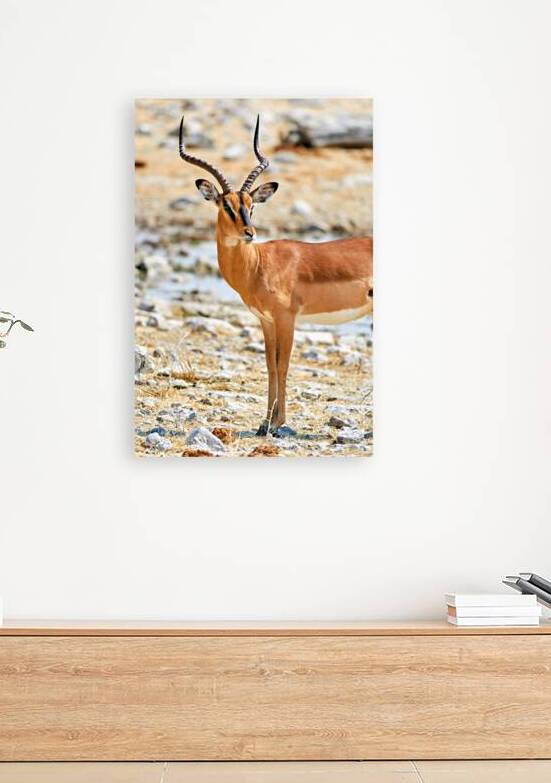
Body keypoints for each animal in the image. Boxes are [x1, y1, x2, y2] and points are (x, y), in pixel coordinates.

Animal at [178, 115, 373, 436]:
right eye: (226, 205)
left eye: (252, 205)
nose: (249, 233)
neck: (259, 265)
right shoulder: (266, 321)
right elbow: (269, 365)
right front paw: (264, 423)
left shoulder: (286, 318)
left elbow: (283, 365)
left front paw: (279, 423)